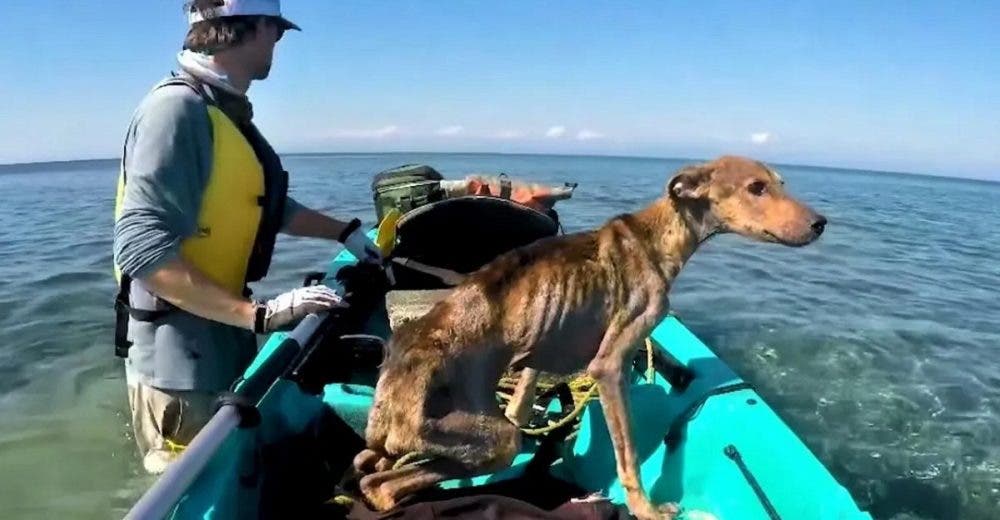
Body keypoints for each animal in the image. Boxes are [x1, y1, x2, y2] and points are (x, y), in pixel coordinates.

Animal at [352, 156, 828, 516]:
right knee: (384, 482)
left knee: (375, 473)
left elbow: (524, 398)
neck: (657, 236)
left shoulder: (544, 347)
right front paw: (646, 510)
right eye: (756, 187)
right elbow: (628, 455)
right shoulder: (609, 366)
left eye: (779, 183)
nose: (821, 223)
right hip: (490, 439)